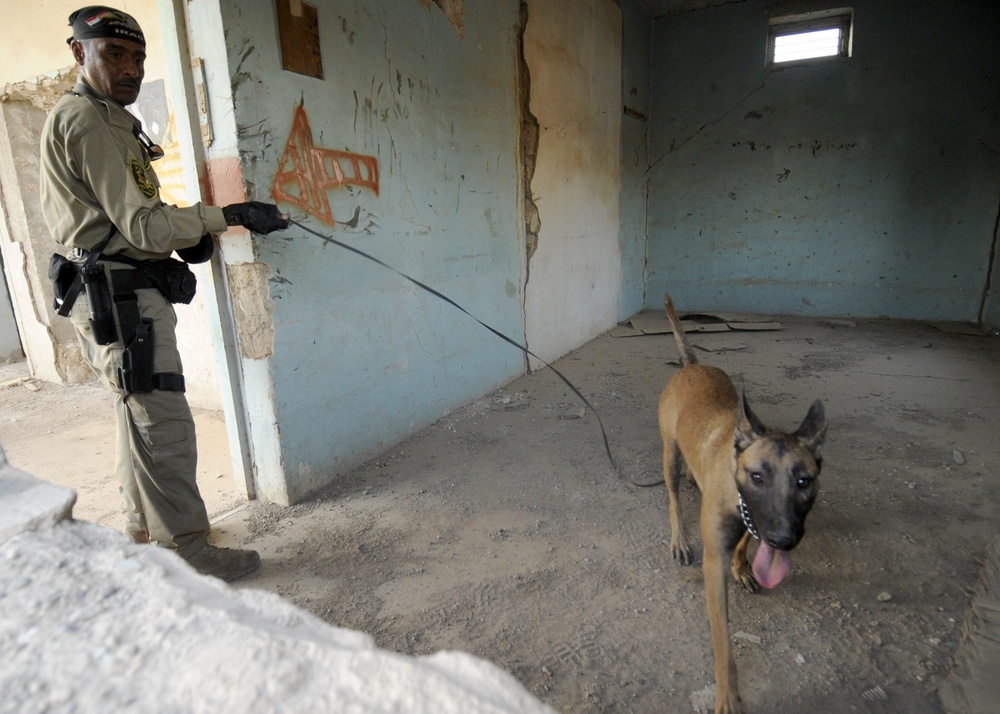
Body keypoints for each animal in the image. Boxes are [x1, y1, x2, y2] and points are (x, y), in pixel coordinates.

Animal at [656, 292, 828, 708]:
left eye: (804, 481)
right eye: (757, 477)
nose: (783, 540)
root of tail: (693, 365)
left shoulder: (756, 521)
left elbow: (747, 540)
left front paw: (743, 565)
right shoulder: (712, 565)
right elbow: (723, 644)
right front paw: (728, 695)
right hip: (669, 453)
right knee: (673, 497)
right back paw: (679, 538)